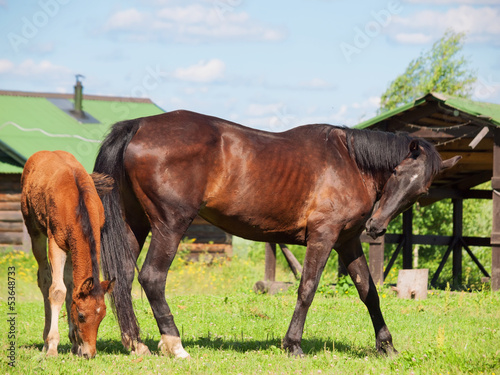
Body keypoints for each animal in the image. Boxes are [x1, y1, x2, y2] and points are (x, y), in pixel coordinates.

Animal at [21, 150, 115, 358]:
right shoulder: (56, 243)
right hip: (35, 230)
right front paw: (52, 346)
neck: (78, 204)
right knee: (44, 280)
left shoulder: (77, 244)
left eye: (103, 315)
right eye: (81, 315)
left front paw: (75, 345)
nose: (89, 353)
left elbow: (71, 289)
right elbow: (57, 291)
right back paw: (45, 341)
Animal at [94, 109, 460, 358]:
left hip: (135, 223)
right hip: (170, 224)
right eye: (397, 173)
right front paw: (293, 343)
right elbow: (307, 288)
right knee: (152, 277)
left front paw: (387, 346)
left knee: (123, 276)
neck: (350, 162)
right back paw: (174, 344)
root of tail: (138, 125)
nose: (377, 226)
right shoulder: (324, 236)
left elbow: (369, 292)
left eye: (421, 191)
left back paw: (136, 343)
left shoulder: (347, 241)